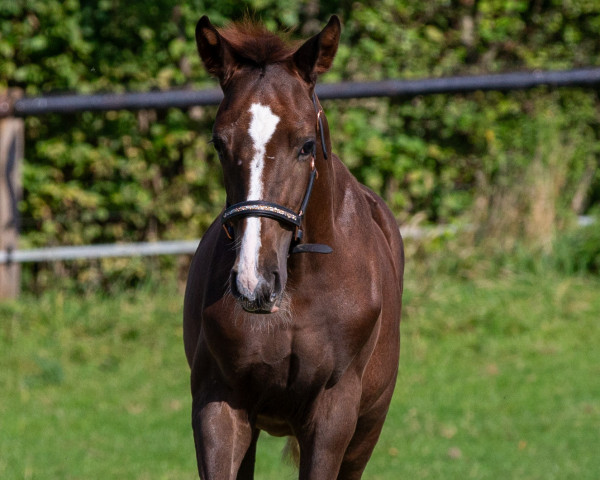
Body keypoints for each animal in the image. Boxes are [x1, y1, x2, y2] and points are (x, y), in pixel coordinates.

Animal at [183, 14, 406, 476]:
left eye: (306, 145)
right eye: (218, 144)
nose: (255, 283)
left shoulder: (333, 415)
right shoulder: (219, 406)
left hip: (366, 431)